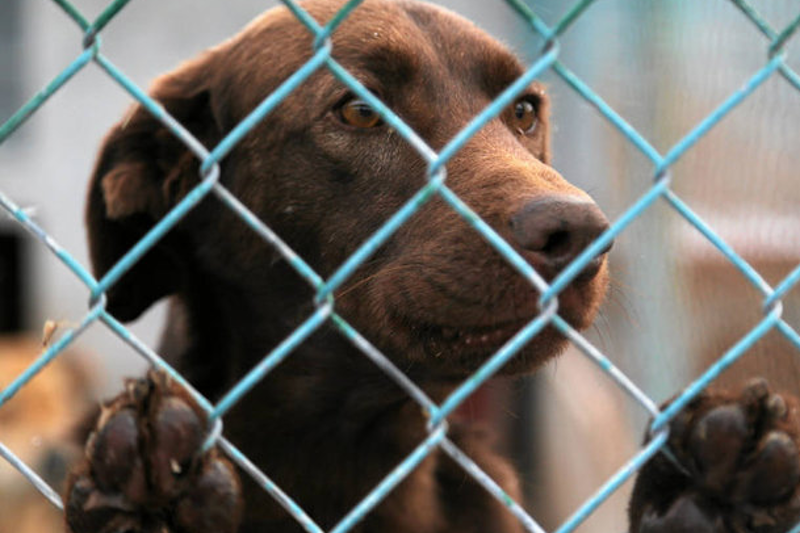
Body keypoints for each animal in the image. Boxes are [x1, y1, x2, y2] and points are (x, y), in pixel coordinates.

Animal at [62, 1, 800, 532]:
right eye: (360, 110)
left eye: (524, 110)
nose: (584, 233)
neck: (351, 447)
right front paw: (150, 503)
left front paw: (702, 496)